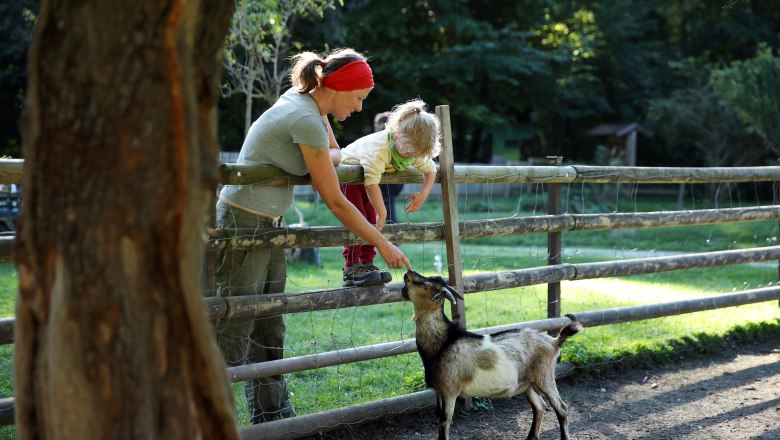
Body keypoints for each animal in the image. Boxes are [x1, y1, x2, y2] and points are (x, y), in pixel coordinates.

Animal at [401, 270, 583, 440]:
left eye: (425, 285)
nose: (408, 273)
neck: (445, 342)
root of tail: (554, 341)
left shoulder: (449, 389)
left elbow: (444, 421)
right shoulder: (439, 391)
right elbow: (439, 419)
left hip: (544, 376)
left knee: (561, 408)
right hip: (528, 382)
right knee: (539, 406)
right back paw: (530, 437)